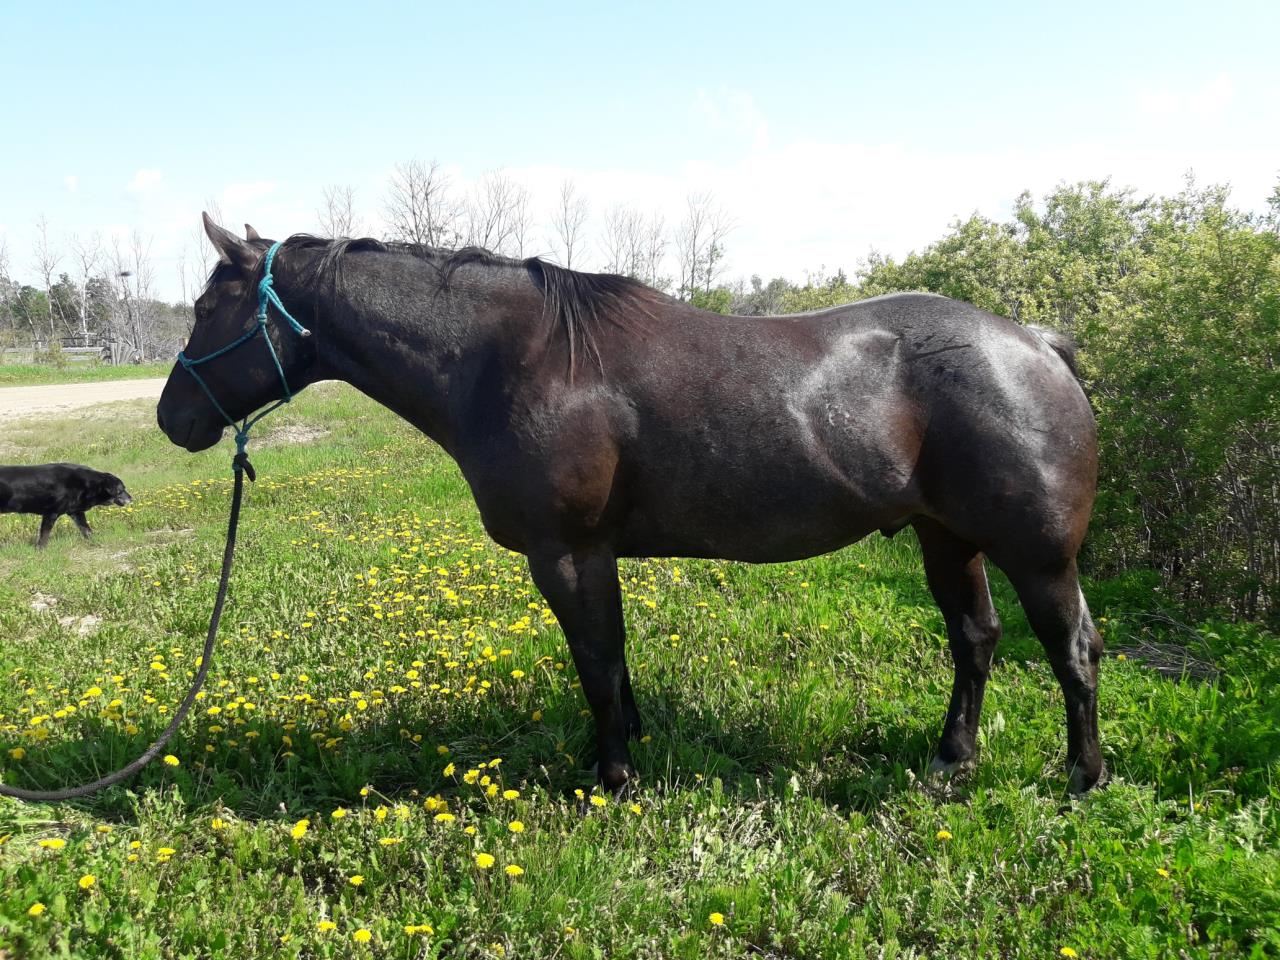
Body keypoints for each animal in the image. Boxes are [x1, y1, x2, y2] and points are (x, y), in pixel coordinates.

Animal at [157, 214, 1106, 795]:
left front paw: (612, 778)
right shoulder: (594, 557)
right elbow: (613, 665)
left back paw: (1083, 776)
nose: (172, 418)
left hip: (1038, 555)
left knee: (1074, 653)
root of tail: (1036, 343)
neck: (518, 357)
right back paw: (952, 760)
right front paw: (630, 750)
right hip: (947, 538)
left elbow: (598, 664)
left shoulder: (568, 553)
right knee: (975, 640)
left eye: (206, 306)